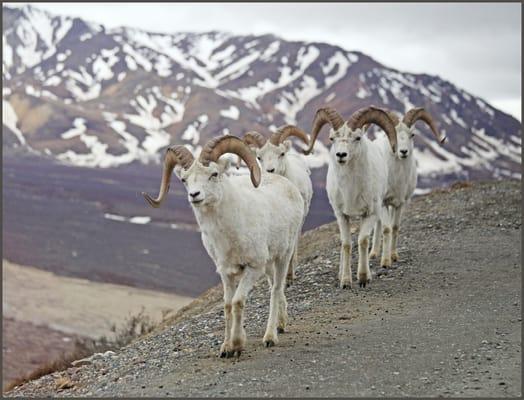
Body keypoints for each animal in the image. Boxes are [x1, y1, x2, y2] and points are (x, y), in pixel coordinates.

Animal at [141, 136, 302, 358]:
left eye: (214, 174)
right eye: (185, 180)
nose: (195, 195)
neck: (229, 233)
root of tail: (288, 185)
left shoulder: (253, 268)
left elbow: (237, 302)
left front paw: (237, 345)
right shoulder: (226, 272)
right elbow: (226, 305)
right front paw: (226, 348)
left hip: (283, 256)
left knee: (276, 289)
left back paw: (270, 337)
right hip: (269, 264)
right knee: (273, 288)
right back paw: (281, 324)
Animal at [302, 106, 398, 288]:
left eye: (357, 138)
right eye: (332, 138)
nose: (341, 155)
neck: (351, 191)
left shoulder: (370, 214)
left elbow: (362, 241)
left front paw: (363, 278)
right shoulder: (342, 215)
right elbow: (346, 244)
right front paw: (345, 281)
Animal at [364, 107, 446, 262]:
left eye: (412, 134)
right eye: (392, 134)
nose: (403, 152)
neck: (397, 178)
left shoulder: (400, 203)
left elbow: (395, 227)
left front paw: (394, 256)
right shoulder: (383, 202)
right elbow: (386, 229)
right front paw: (385, 261)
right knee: (379, 224)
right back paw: (373, 253)